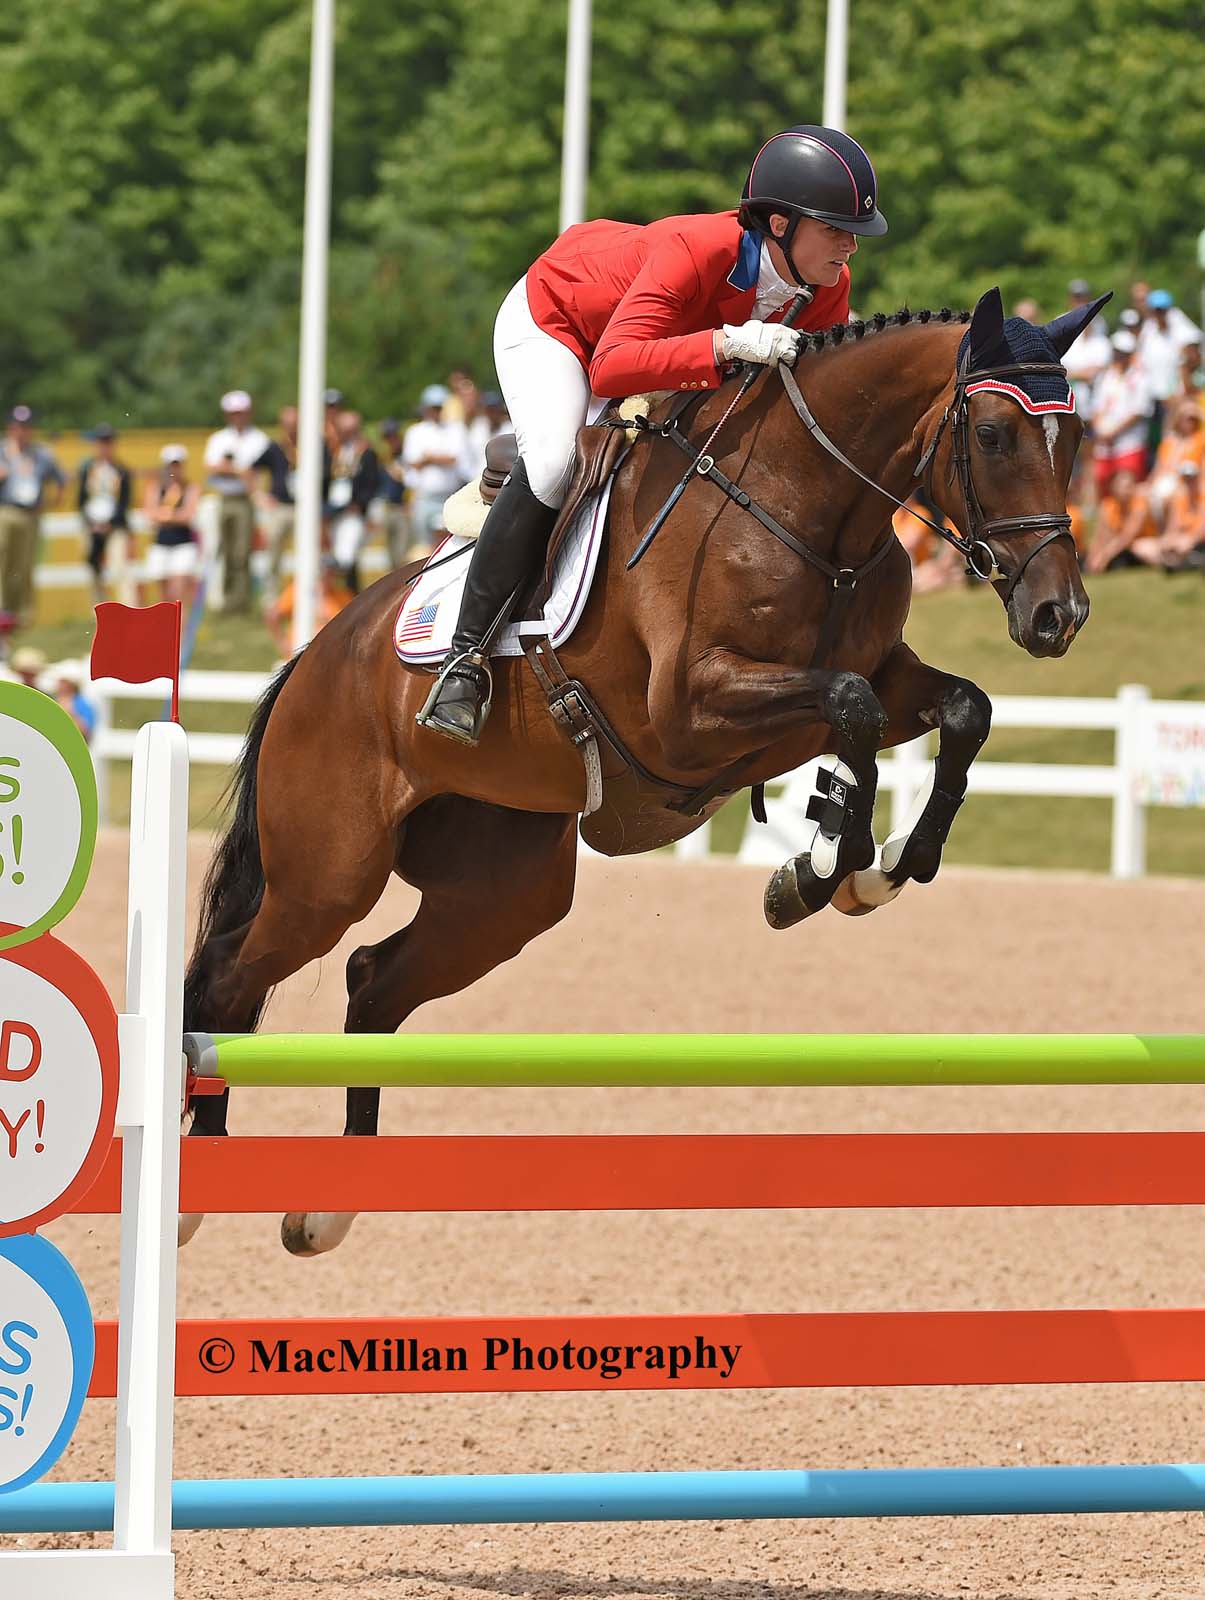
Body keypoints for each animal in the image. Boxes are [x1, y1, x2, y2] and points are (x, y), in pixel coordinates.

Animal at [185, 291, 1100, 1260]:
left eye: (1074, 436)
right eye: (993, 435)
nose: (1058, 614)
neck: (807, 508)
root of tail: (314, 655)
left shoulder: (872, 679)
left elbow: (956, 710)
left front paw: (869, 869)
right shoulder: (689, 714)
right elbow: (847, 712)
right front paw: (824, 867)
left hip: (503, 893)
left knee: (372, 981)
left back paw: (330, 1202)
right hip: (328, 875)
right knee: (228, 979)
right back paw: (199, 1185)